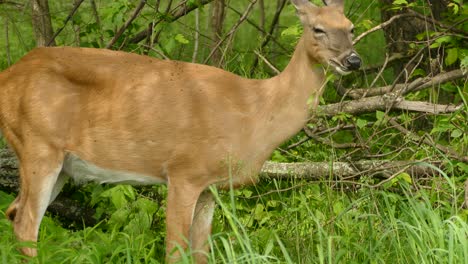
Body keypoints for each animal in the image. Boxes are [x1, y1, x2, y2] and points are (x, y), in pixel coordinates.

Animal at [0, 0, 360, 262]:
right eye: (318, 29)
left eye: (351, 28)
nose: (353, 60)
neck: (254, 111)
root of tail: (8, 75)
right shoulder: (184, 171)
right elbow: (175, 251)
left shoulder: (211, 186)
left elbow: (201, 252)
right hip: (38, 145)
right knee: (26, 224)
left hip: (59, 162)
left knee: (14, 212)